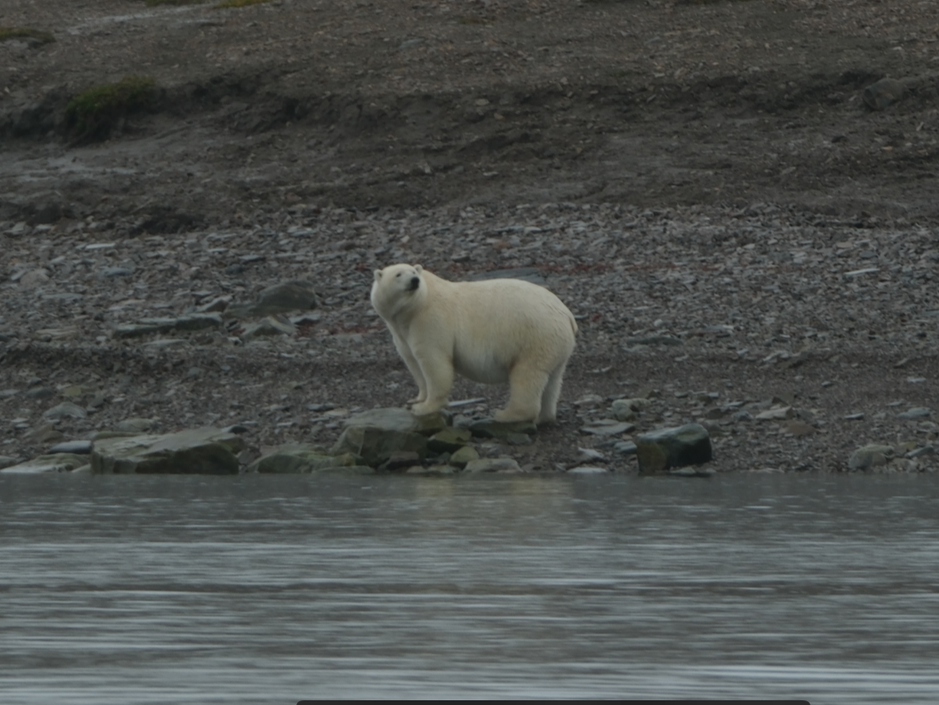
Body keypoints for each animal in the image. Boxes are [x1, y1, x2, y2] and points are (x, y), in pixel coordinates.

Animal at [370, 263, 577, 424]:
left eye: (414, 271)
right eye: (398, 274)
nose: (414, 281)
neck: (413, 309)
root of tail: (567, 314)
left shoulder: (430, 320)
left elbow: (434, 362)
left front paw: (425, 407)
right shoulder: (402, 331)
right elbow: (413, 362)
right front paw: (416, 400)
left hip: (534, 336)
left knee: (527, 375)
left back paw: (507, 414)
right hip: (555, 343)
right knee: (552, 380)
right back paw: (544, 416)